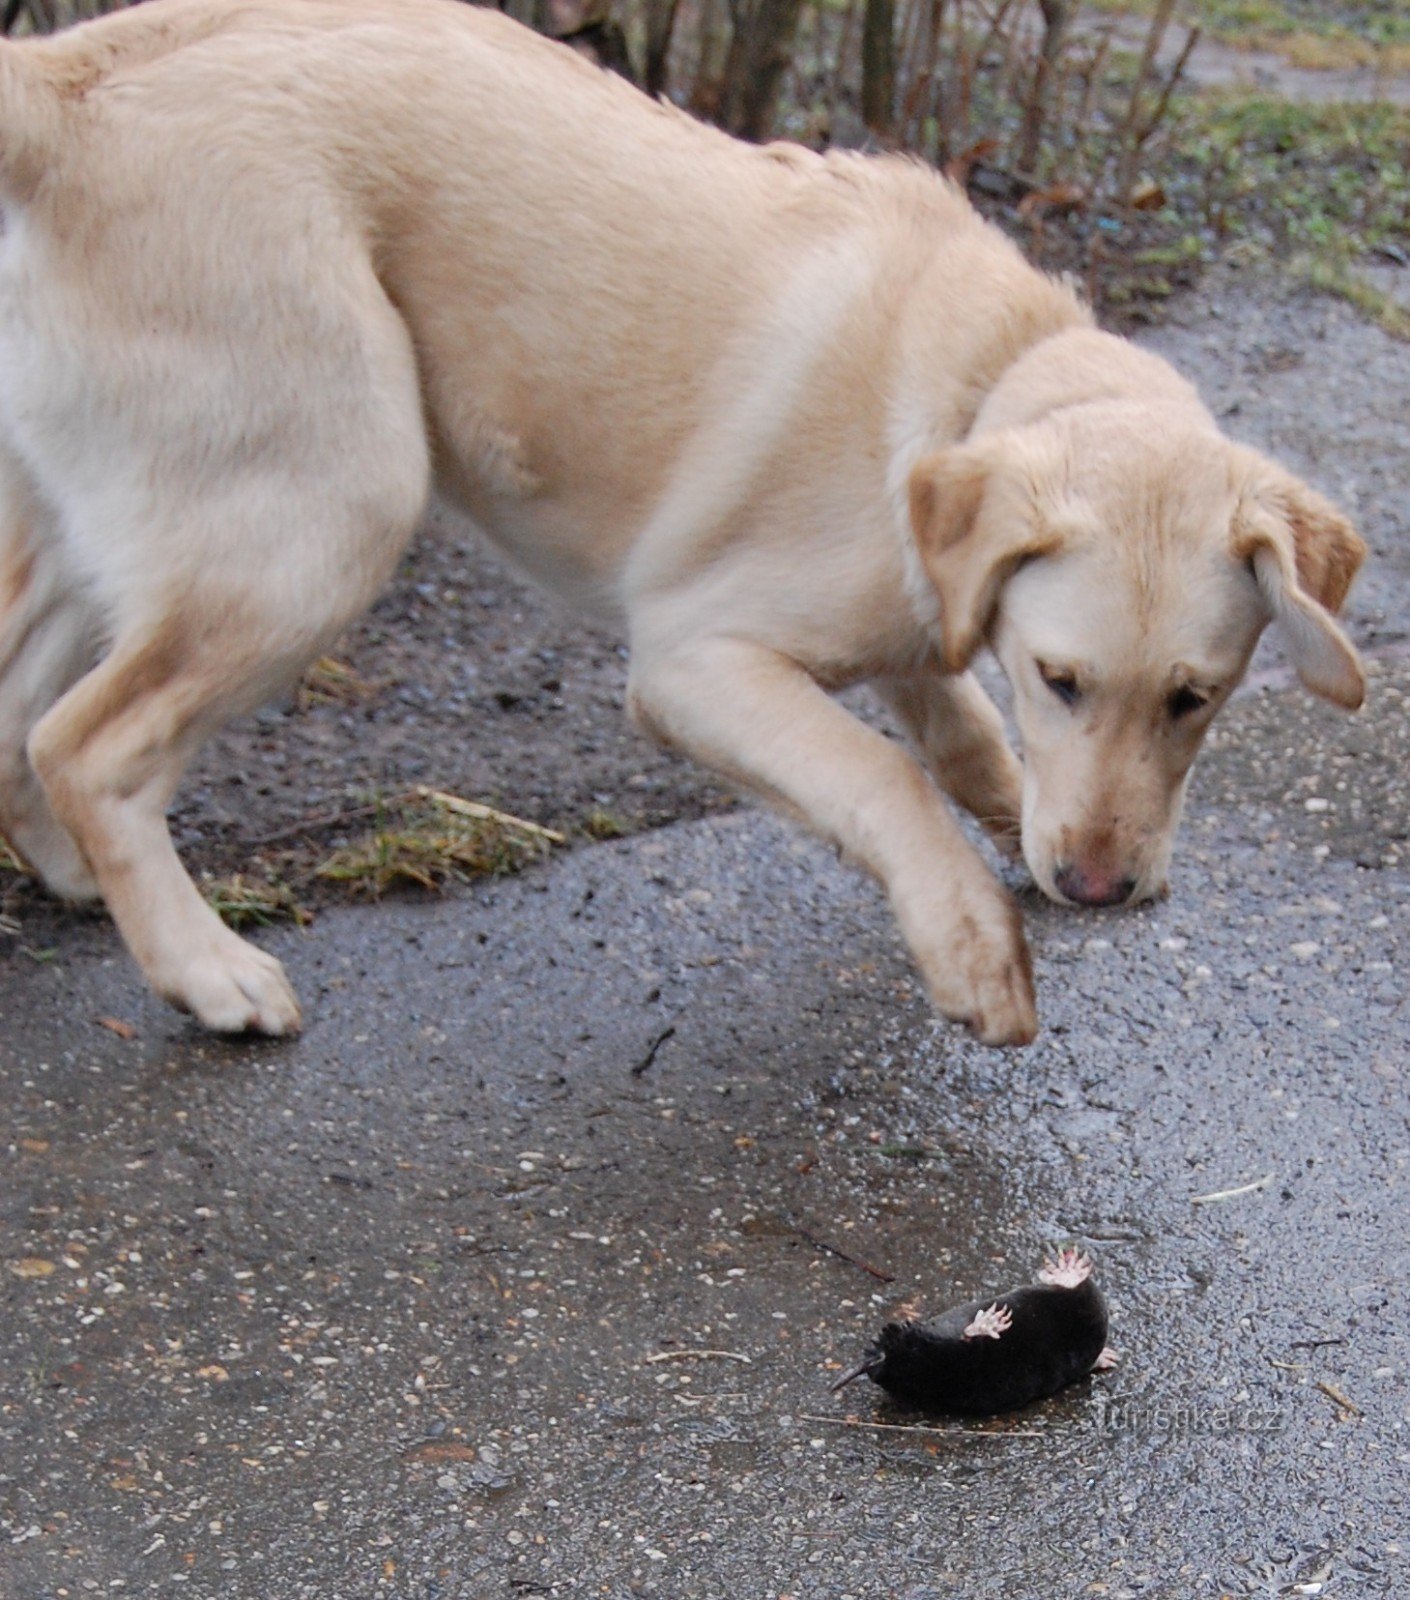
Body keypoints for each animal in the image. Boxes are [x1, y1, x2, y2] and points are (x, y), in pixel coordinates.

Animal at [0, 0, 1363, 1043]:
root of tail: (65, 83)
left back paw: (72, 878)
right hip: (332, 505)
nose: (1095, 887)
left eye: (1193, 699)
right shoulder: (692, 662)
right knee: (88, 744)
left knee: (25, 722)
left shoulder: (926, 611)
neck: (985, 373)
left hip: (100, 531)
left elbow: (961, 734)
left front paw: (1009, 824)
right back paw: (204, 969)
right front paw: (975, 942)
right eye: (1063, 677)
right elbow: (883, 773)